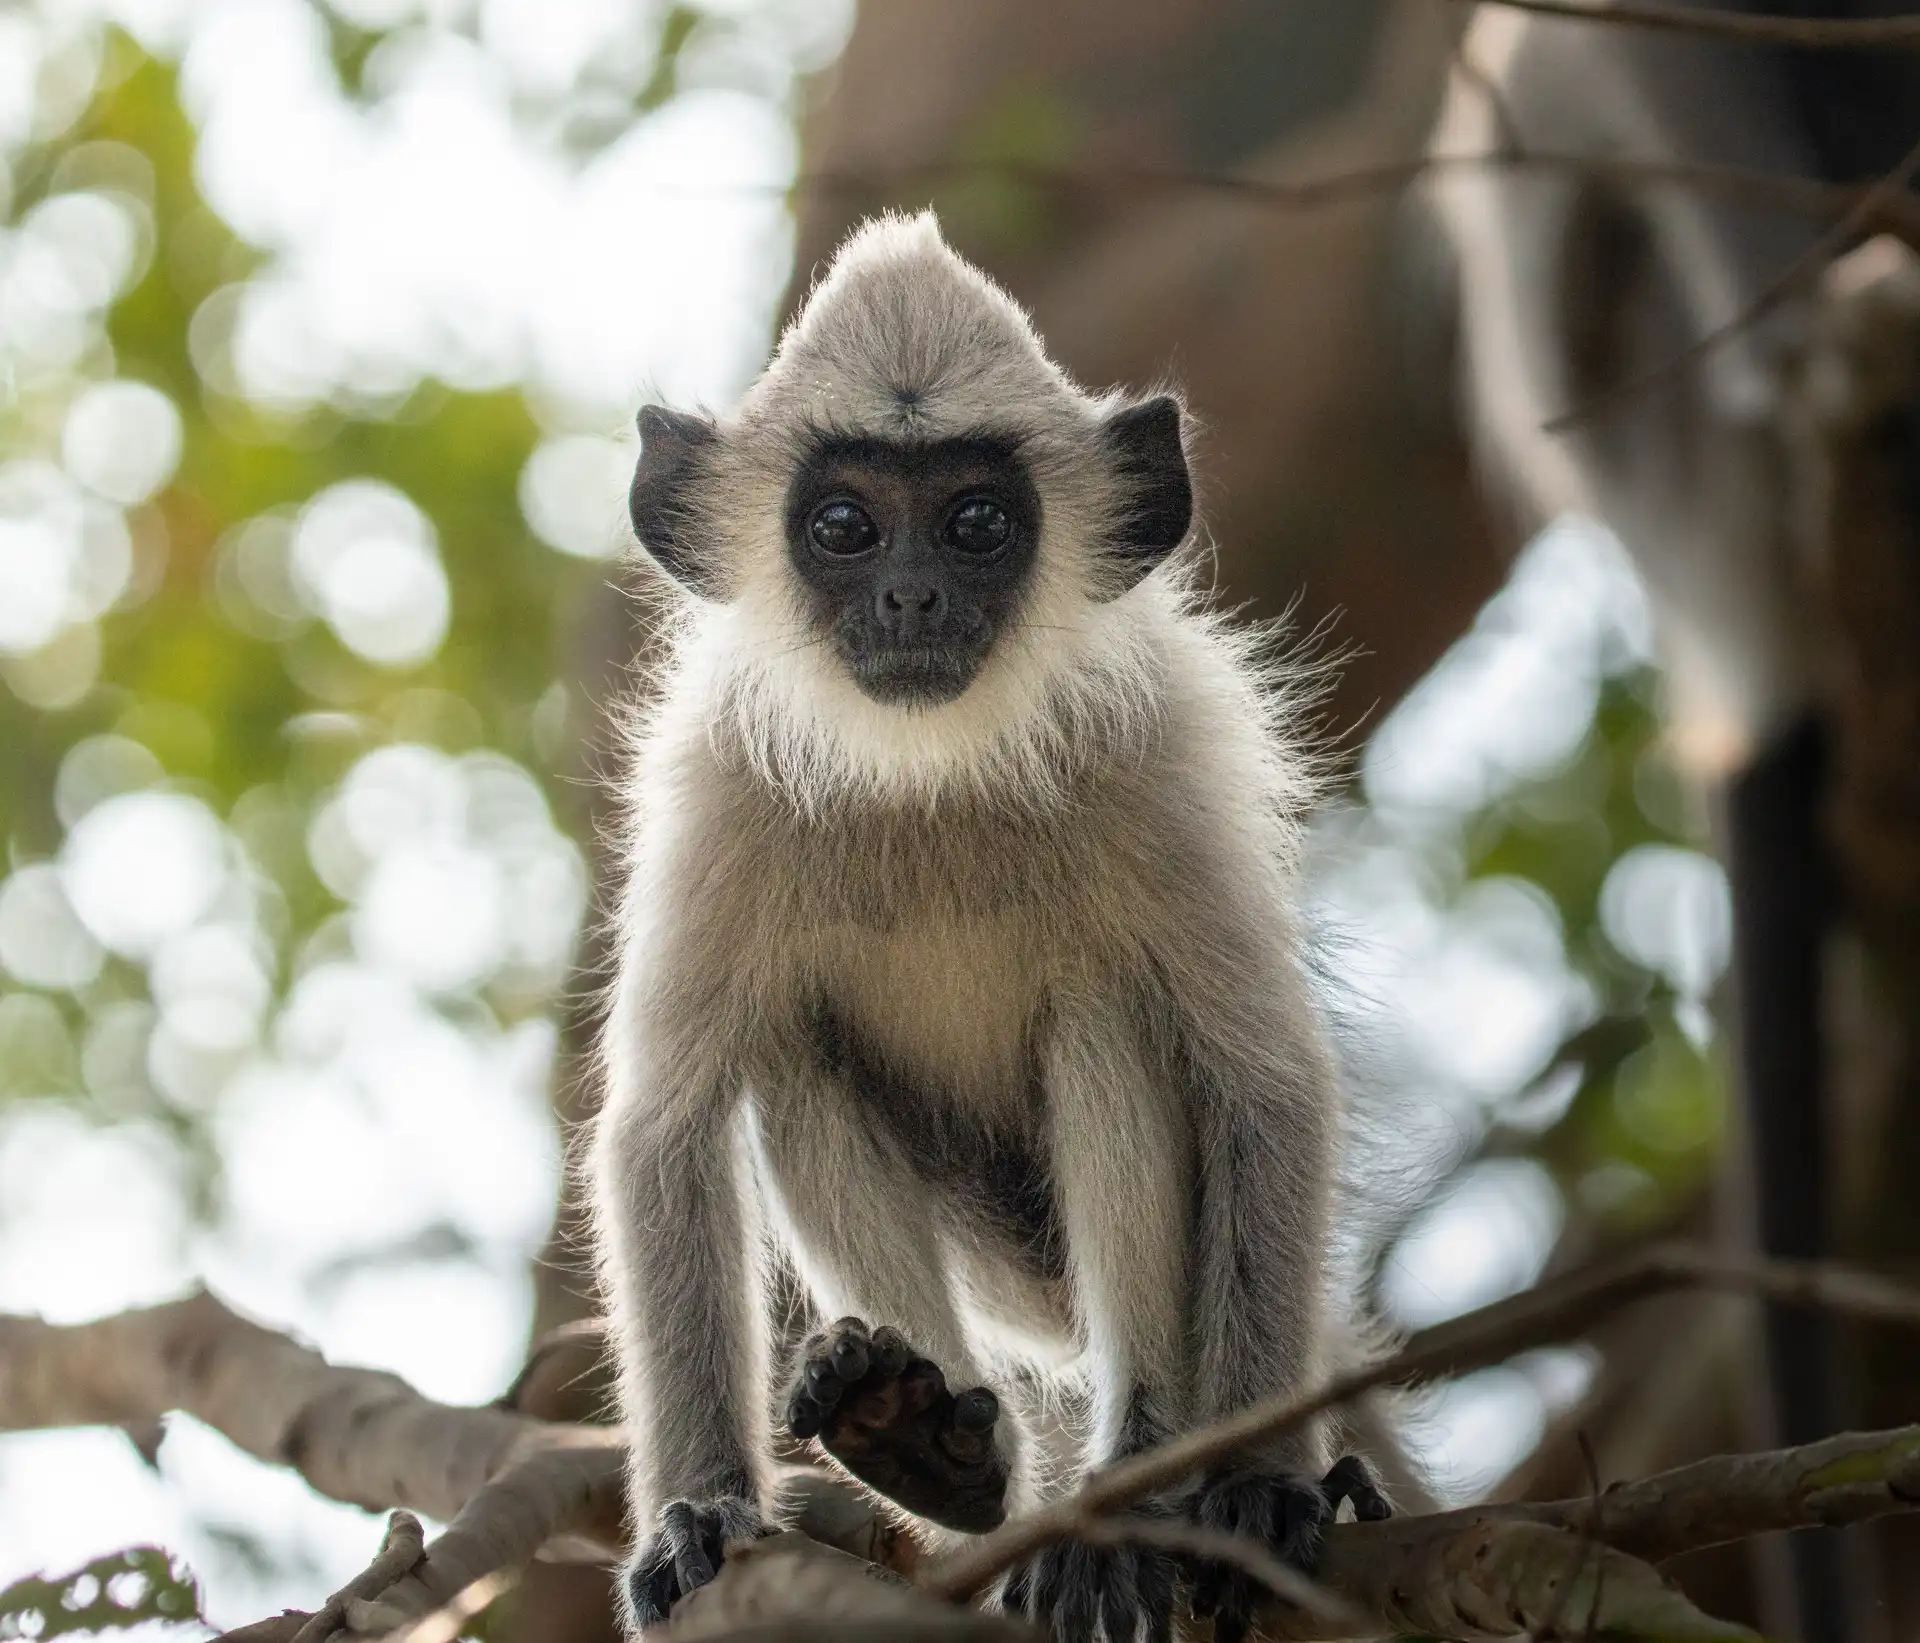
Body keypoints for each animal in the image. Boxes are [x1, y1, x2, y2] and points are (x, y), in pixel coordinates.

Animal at [588, 211, 1390, 1643]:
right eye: (844, 526)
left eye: (975, 522)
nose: (911, 598)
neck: (935, 771)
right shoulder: (715, 779)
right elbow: (664, 1130)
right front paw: (697, 1514)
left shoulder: (1165, 753)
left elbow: (1268, 1083)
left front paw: (1256, 1483)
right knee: (789, 1052)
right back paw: (939, 1446)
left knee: (1106, 1009)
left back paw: (1141, 1480)